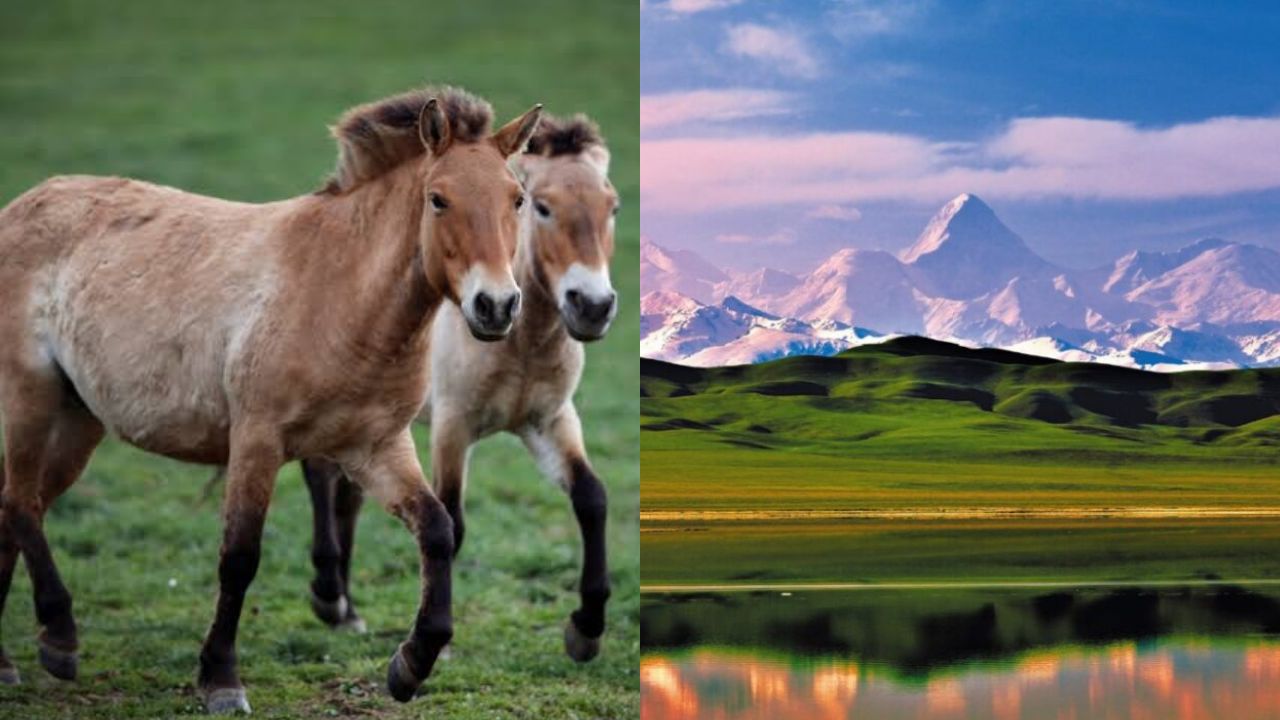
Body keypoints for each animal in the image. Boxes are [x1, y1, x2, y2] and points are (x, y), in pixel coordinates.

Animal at [0, 86, 541, 713]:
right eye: (438, 199)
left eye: (517, 199)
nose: (496, 306)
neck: (339, 294)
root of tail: (19, 208)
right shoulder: (256, 441)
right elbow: (239, 557)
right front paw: (220, 679)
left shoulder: (376, 447)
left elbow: (436, 529)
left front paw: (410, 666)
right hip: (29, 398)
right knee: (20, 504)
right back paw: (60, 638)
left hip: (78, 419)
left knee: (16, 508)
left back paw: (10, 659)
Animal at [299, 114, 619, 663]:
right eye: (542, 206)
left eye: (612, 207)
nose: (592, 306)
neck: (521, 343)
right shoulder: (453, 426)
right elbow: (453, 519)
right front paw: (435, 646)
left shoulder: (550, 420)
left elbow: (591, 497)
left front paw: (586, 630)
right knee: (321, 476)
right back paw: (328, 597)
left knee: (348, 495)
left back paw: (348, 610)